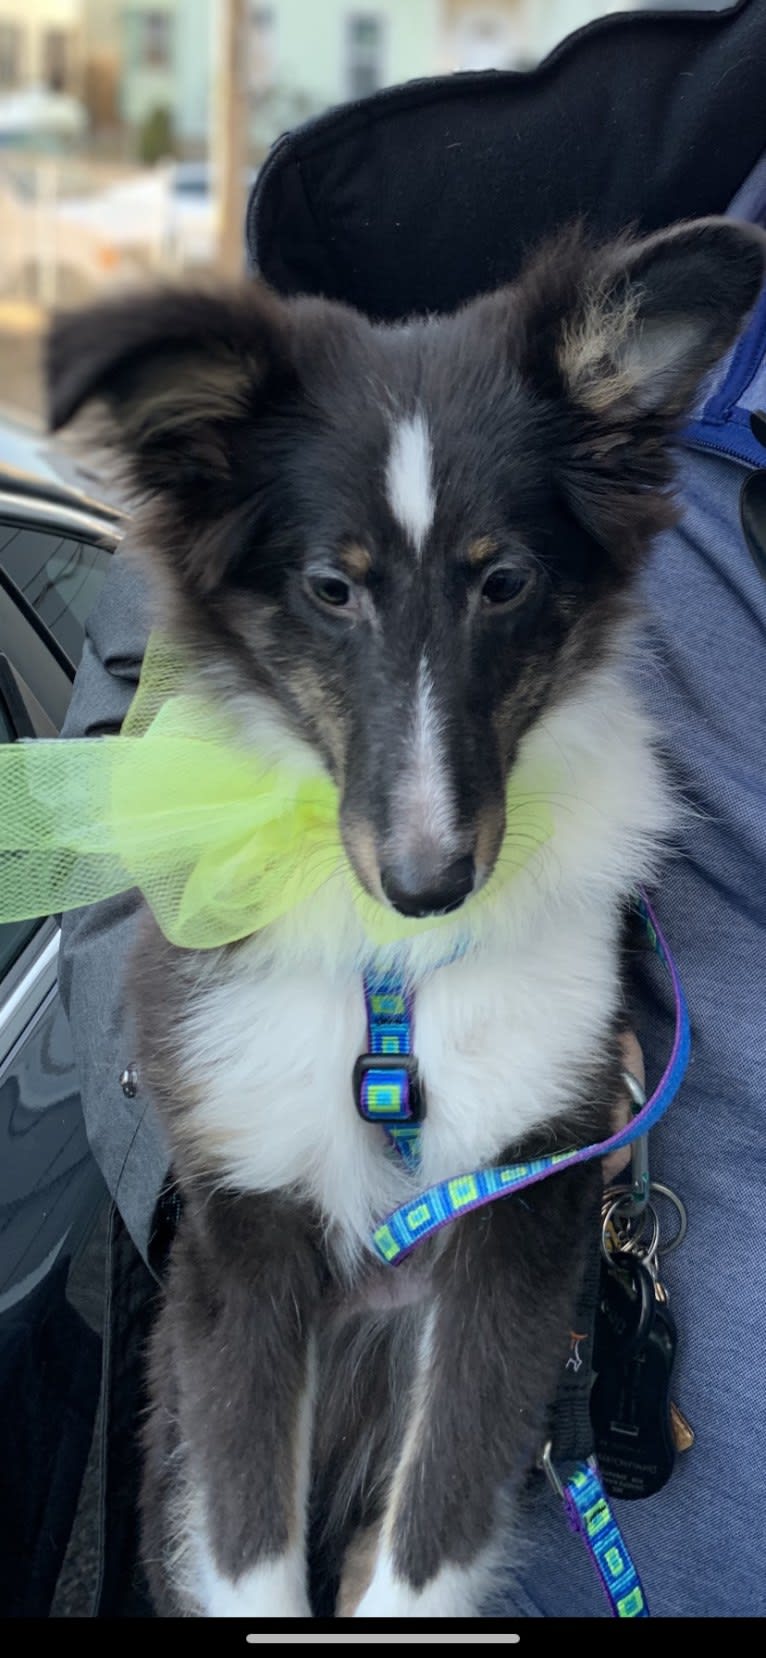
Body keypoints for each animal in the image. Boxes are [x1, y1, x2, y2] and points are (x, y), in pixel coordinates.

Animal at [49, 220, 766, 1618]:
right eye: (332, 586)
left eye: (506, 581)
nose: (429, 879)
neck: (396, 977)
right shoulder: (245, 1221)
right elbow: (246, 1551)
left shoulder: (521, 1220)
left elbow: (423, 1550)